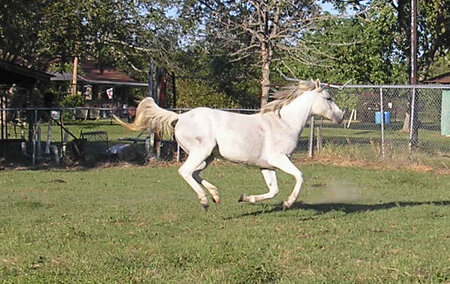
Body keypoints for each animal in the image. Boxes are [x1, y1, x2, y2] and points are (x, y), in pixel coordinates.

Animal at [114, 79, 342, 210]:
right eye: (328, 98)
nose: (341, 116)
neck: (283, 122)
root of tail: (180, 117)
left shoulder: (266, 166)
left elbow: (273, 190)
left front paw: (245, 198)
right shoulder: (280, 159)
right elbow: (299, 176)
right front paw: (288, 203)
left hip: (208, 157)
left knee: (195, 173)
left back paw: (215, 195)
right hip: (200, 152)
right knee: (185, 172)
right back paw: (204, 200)